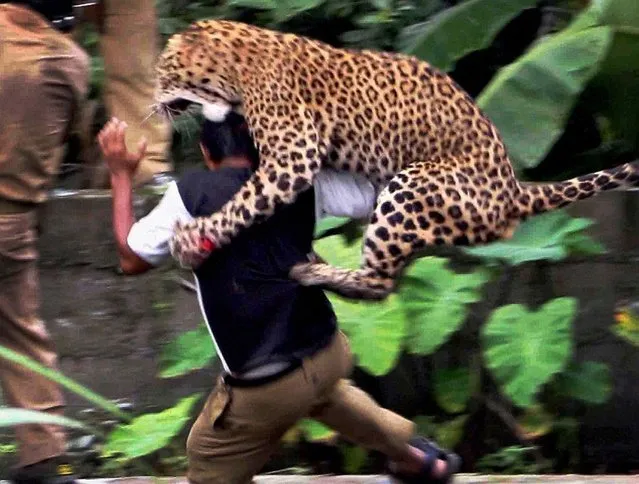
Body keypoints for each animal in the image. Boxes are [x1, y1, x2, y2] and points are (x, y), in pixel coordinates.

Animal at [155, 20, 639, 300]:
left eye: (163, 70)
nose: (154, 102)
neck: (234, 65)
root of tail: (512, 191)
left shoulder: (293, 154)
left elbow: (242, 203)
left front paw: (192, 238)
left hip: (411, 186)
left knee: (381, 284)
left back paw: (316, 272)